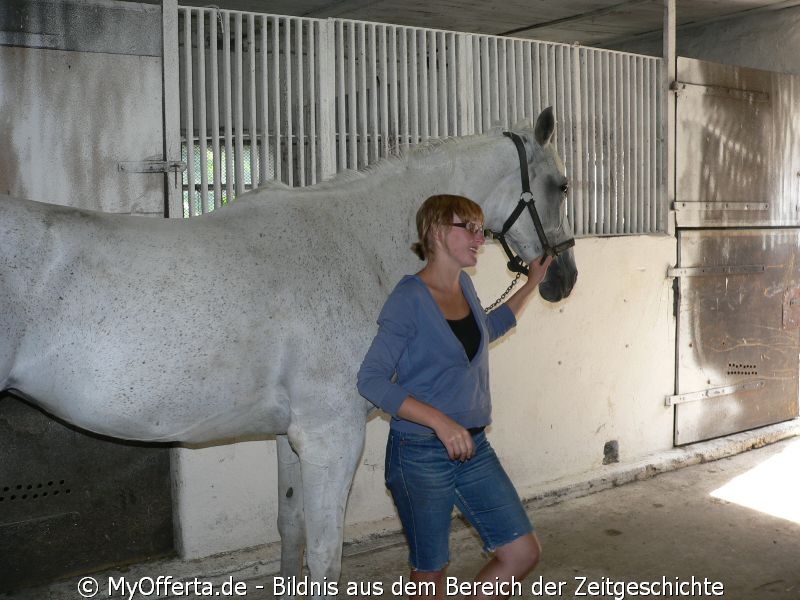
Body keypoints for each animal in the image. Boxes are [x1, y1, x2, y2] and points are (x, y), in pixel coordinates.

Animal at [0, 108, 576, 596]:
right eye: (561, 185)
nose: (563, 278)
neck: (355, 247)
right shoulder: (331, 437)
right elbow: (323, 555)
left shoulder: (290, 437)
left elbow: (291, 529)